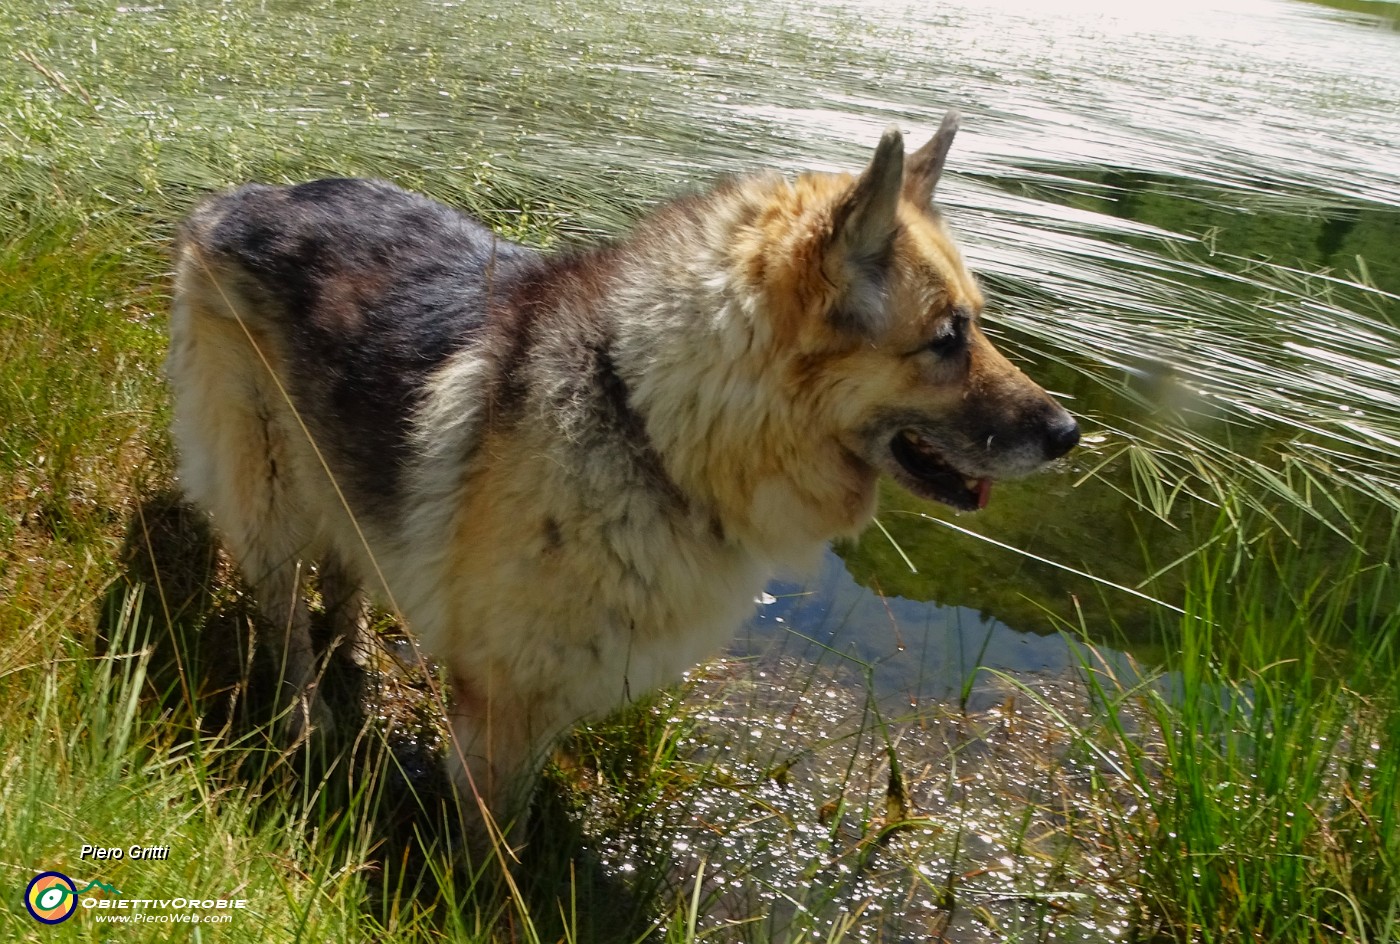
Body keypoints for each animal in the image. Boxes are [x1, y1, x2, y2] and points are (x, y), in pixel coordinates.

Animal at [166, 114, 1080, 840]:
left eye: (975, 325)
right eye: (946, 339)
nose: (1070, 434)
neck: (649, 418)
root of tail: (242, 197)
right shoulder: (503, 707)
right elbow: (497, 850)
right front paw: (493, 908)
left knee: (345, 568)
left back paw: (352, 653)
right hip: (269, 491)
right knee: (284, 613)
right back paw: (305, 718)